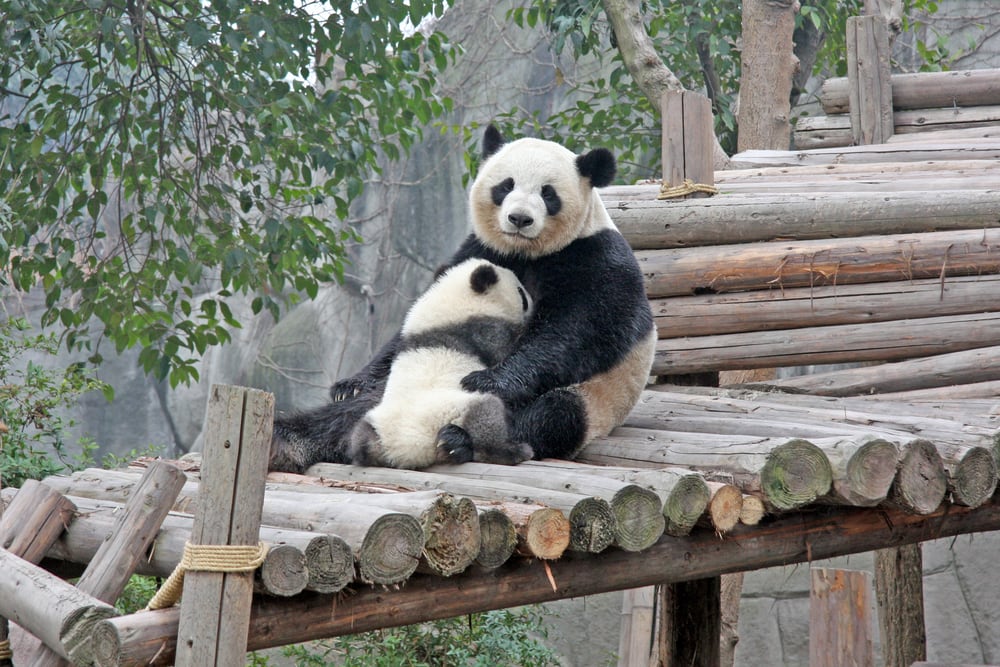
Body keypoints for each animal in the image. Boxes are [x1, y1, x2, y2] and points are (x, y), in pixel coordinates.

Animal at [348, 258, 535, 469]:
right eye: (521, 292)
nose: (532, 301)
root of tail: (410, 446)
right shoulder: (480, 329)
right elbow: (502, 346)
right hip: (453, 406)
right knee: (486, 414)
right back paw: (513, 451)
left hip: (379, 422)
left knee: (360, 437)